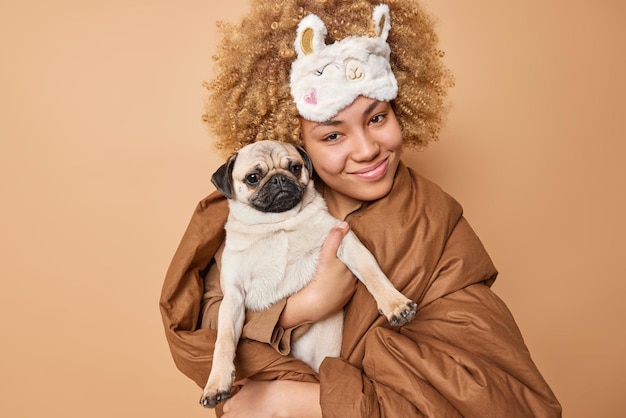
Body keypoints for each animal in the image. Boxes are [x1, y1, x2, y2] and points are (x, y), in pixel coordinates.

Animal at [200, 140, 414, 408]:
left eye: (295, 167)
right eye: (253, 178)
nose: (279, 179)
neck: (278, 224)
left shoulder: (345, 241)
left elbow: (372, 273)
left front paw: (395, 304)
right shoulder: (233, 296)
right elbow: (224, 340)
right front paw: (216, 383)